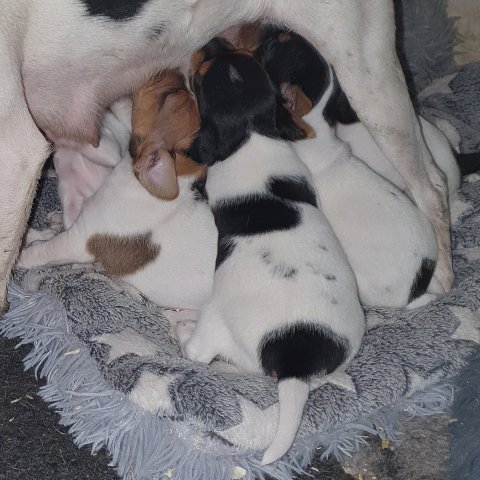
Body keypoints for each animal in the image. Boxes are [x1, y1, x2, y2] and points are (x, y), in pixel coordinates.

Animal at [180, 39, 365, 465]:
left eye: (200, 79)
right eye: (248, 58)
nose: (213, 40)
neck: (253, 134)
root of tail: (296, 360)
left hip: (216, 318)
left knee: (200, 351)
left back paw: (181, 331)